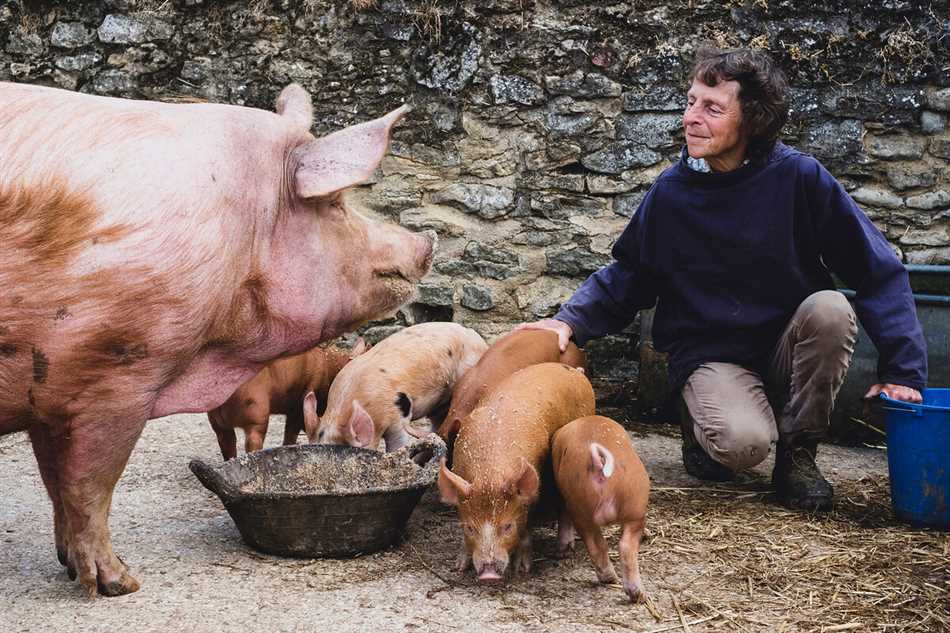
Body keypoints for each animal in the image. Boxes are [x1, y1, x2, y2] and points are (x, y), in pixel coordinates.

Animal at [0, 81, 436, 596]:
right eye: (335, 204)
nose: (427, 243)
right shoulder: (119, 370)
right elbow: (91, 486)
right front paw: (122, 584)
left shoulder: (48, 393)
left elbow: (56, 484)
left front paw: (69, 566)